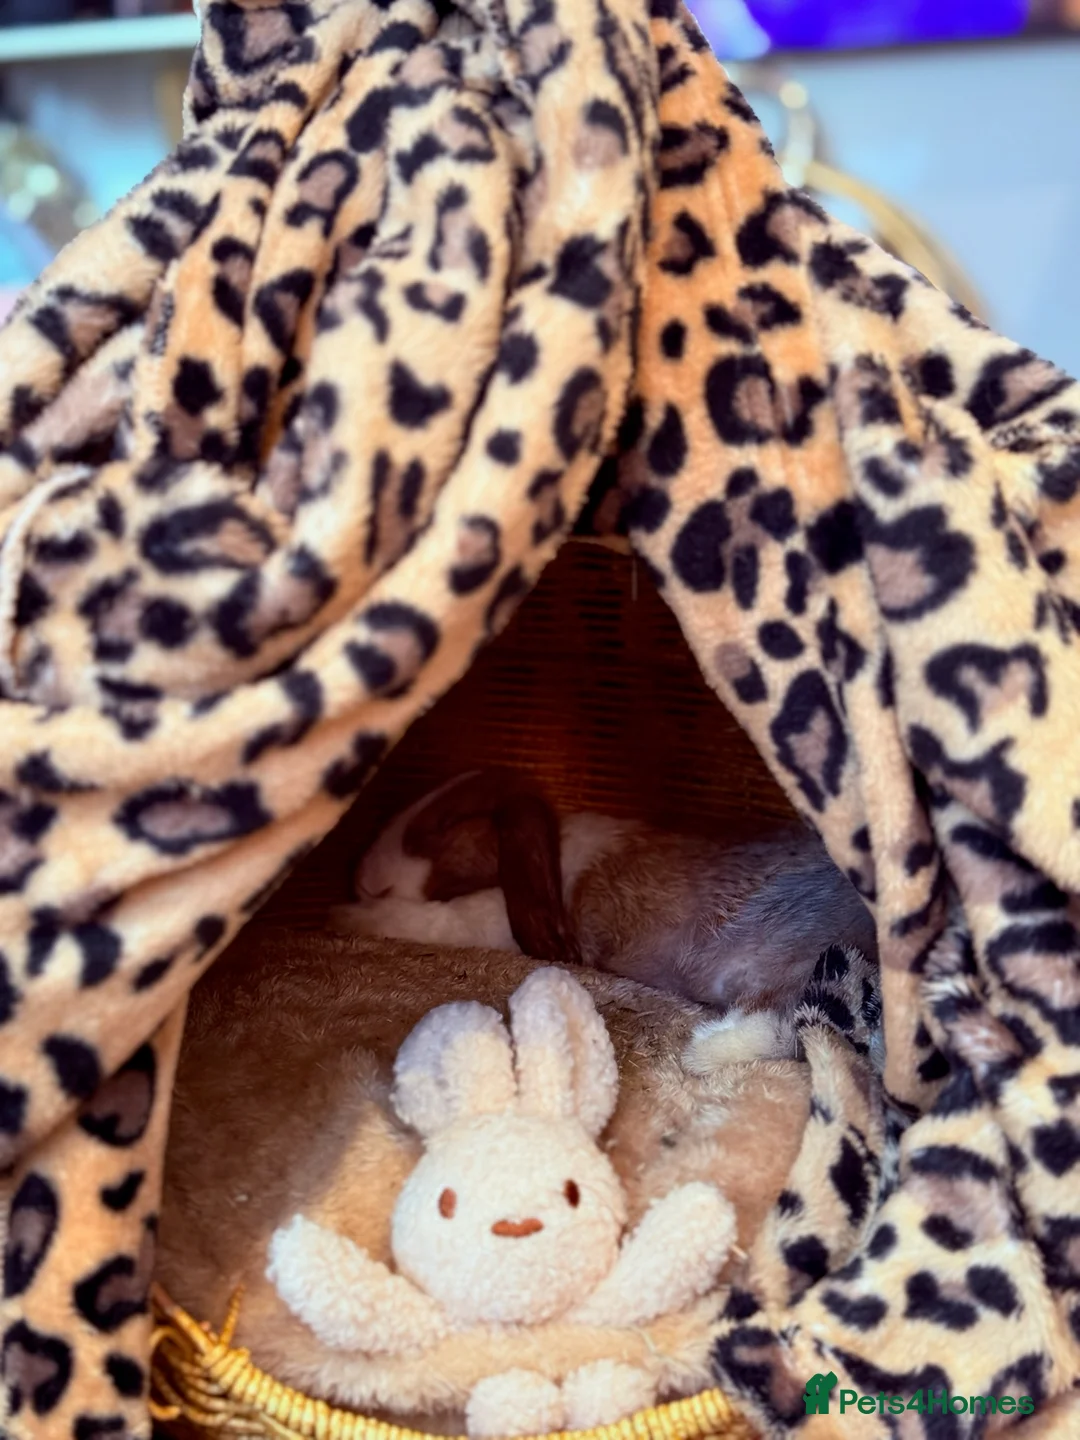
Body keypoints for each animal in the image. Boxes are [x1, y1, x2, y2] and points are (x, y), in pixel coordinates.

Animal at [328, 768, 878, 1052]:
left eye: (442, 824)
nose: (363, 875)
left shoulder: (481, 918)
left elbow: (423, 920)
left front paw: (349, 915)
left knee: (768, 1021)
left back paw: (703, 1050)